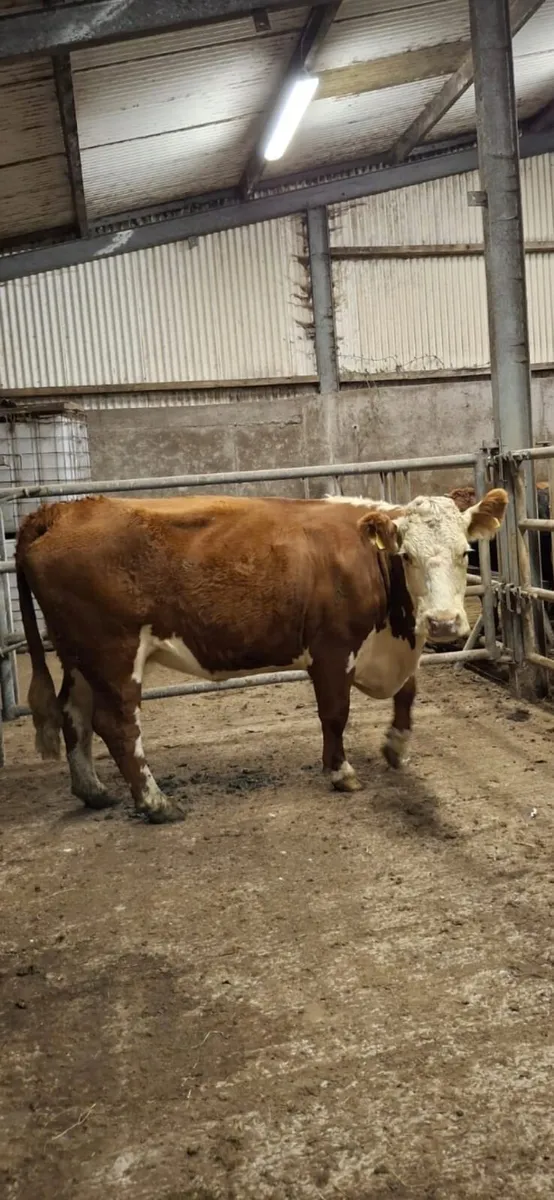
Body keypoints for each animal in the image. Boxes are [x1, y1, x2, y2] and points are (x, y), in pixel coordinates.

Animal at [15, 489, 507, 823]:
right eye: (406, 555)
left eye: (465, 552)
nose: (443, 623)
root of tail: (61, 510)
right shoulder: (332, 648)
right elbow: (335, 713)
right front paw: (341, 772)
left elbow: (408, 691)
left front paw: (395, 744)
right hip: (113, 651)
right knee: (117, 724)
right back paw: (156, 803)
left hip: (80, 655)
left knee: (74, 713)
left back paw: (93, 790)